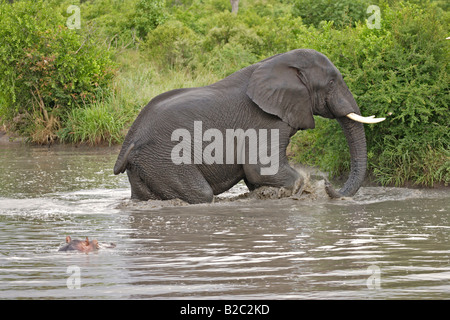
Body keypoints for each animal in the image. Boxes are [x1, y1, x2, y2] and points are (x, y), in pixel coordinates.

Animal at [114, 49, 384, 205]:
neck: (276, 63)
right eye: (331, 82)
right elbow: (261, 169)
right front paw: (306, 188)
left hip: (146, 166)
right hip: (164, 158)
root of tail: (129, 141)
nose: (328, 183)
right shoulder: (265, 121)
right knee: (201, 194)